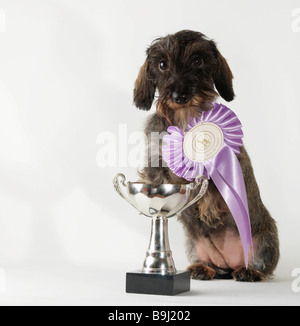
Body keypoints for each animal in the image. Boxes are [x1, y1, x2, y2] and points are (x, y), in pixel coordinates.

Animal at [133, 29, 278, 282]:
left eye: (197, 61)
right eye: (162, 64)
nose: (180, 96)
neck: (185, 117)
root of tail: (229, 265)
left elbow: (209, 183)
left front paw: (208, 206)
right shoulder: (155, 160)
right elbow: (161, 178)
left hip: (266, 240)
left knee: (262, 266)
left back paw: (250, 271)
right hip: (195, 246)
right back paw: (203, 268)